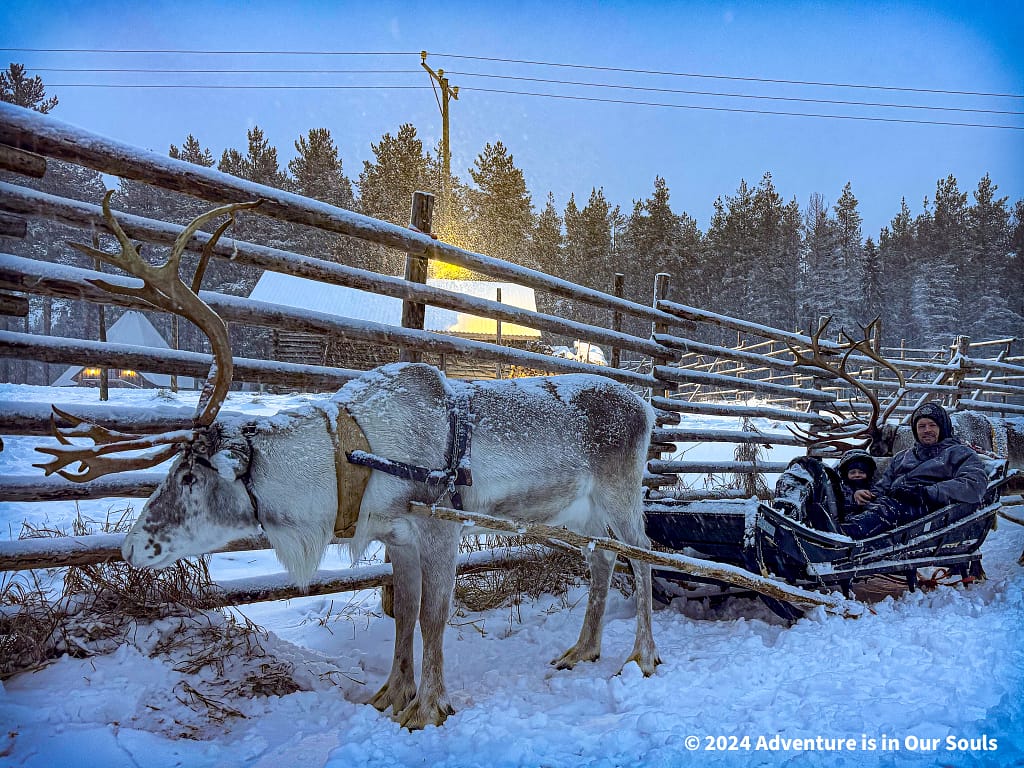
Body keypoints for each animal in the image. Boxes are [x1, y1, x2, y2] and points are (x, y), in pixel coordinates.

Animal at [34, 193, 660, 730]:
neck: (350, 463)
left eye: (189, 474)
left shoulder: (439, 527)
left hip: (622, 493)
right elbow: (404, 617)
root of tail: (647, 406)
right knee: (605, 559)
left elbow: (434, 617)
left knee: (644, 554)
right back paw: (583, 648)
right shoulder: (397, 538)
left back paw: (643, 656)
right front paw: (391, 695)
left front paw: (430, 708)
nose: (129, 548)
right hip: (581, 511)